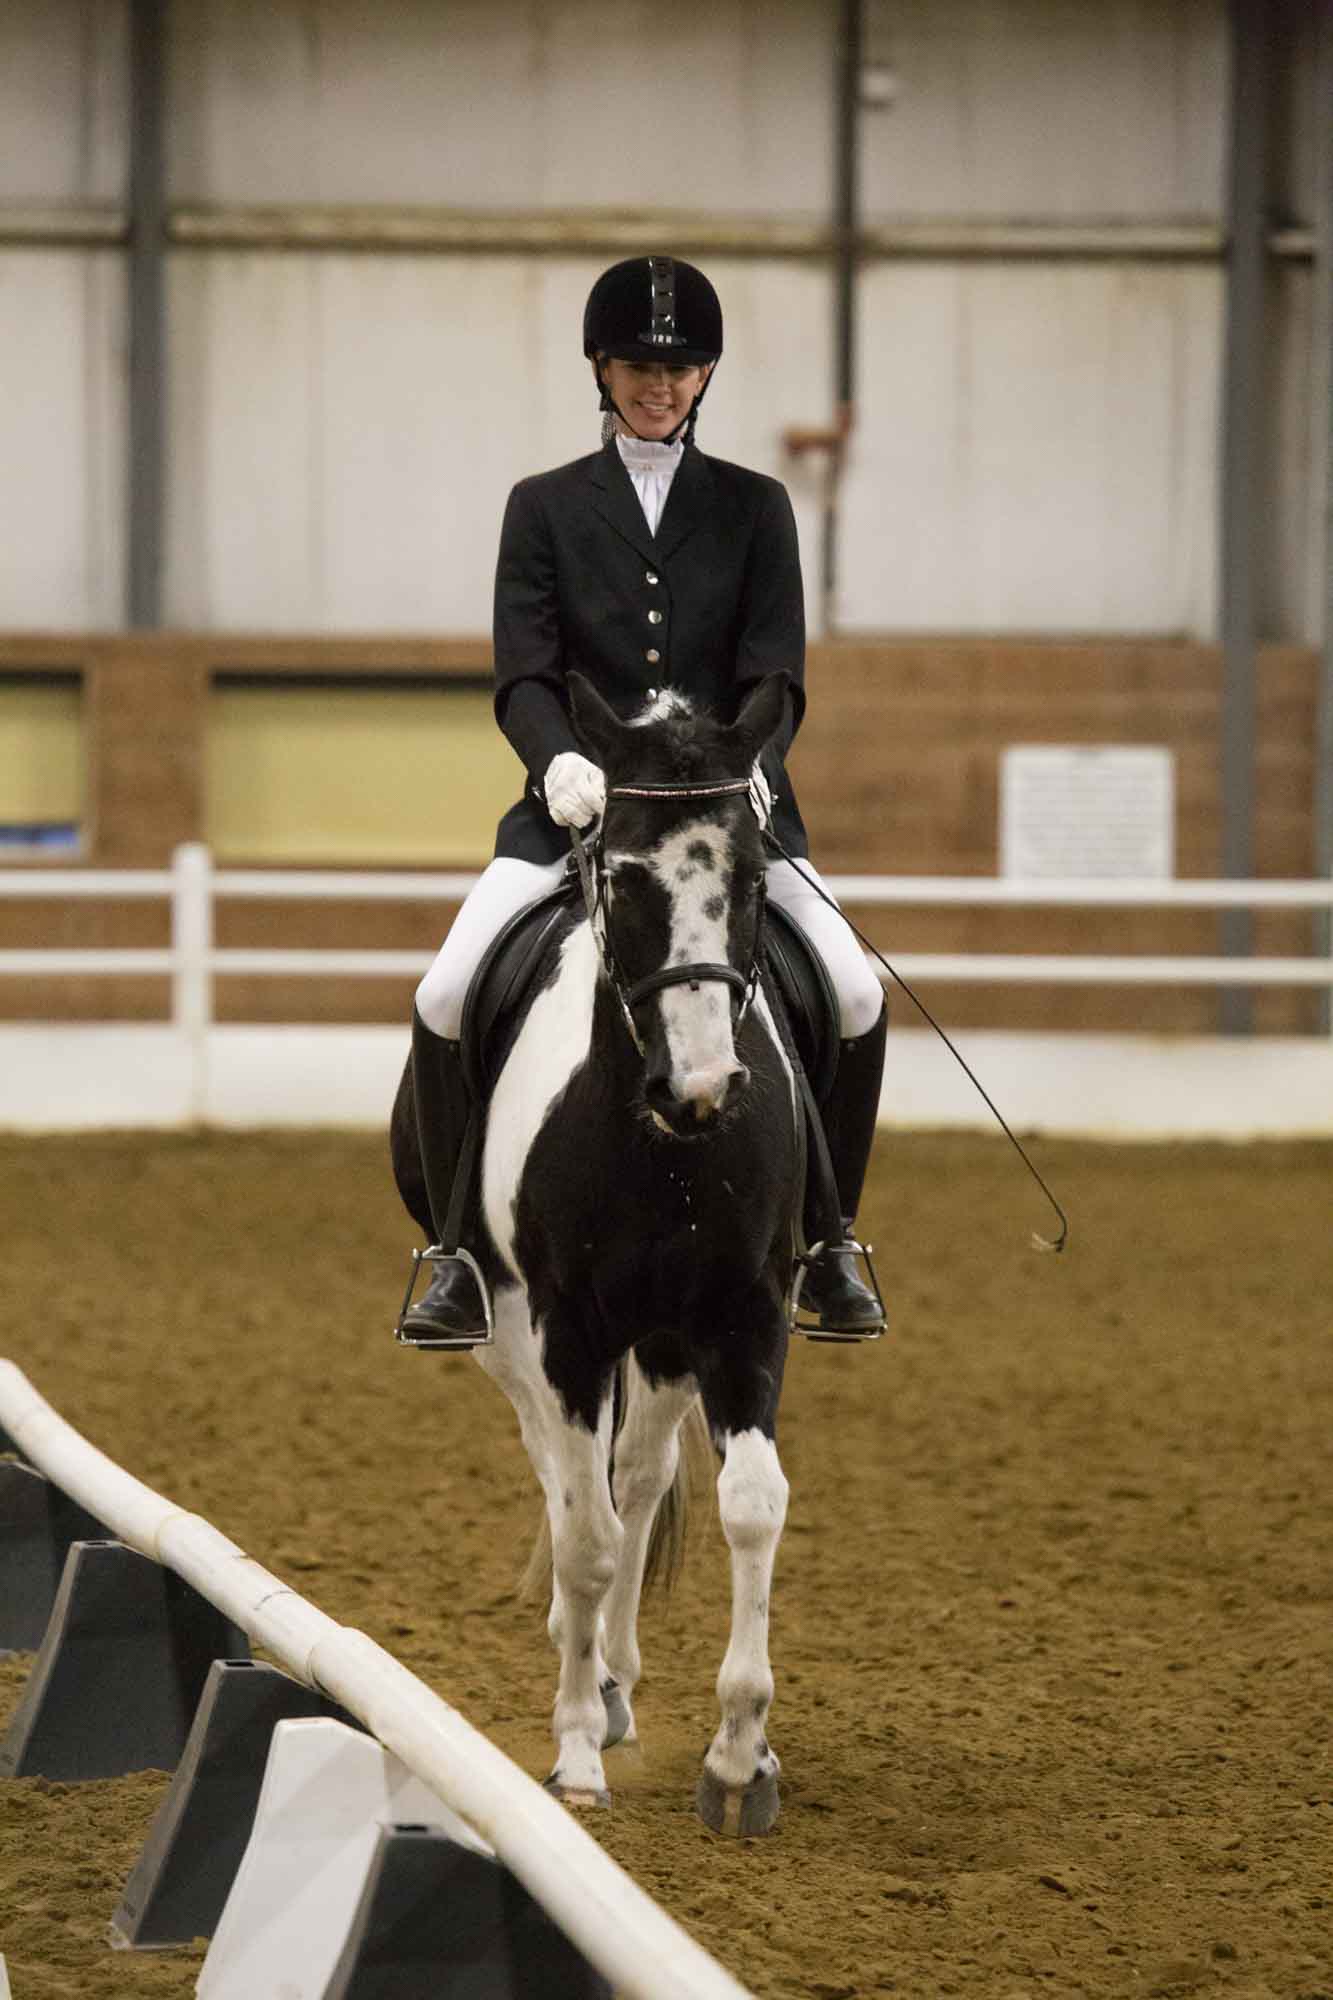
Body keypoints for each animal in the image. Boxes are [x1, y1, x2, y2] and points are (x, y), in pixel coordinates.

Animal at [391, 672, 803, 1836]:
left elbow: (749, 1506)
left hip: (662, 1341)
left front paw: (738, 1755)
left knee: (637, 1471)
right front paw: (574, 1751)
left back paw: (617, 1672)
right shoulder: (562, 1326)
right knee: (567, 1479)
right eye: (620, 876)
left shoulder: (740, 1318)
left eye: (753, 876)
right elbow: (584, 1535)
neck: (657, 1141)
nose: (702, 1087)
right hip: (513, 1334)